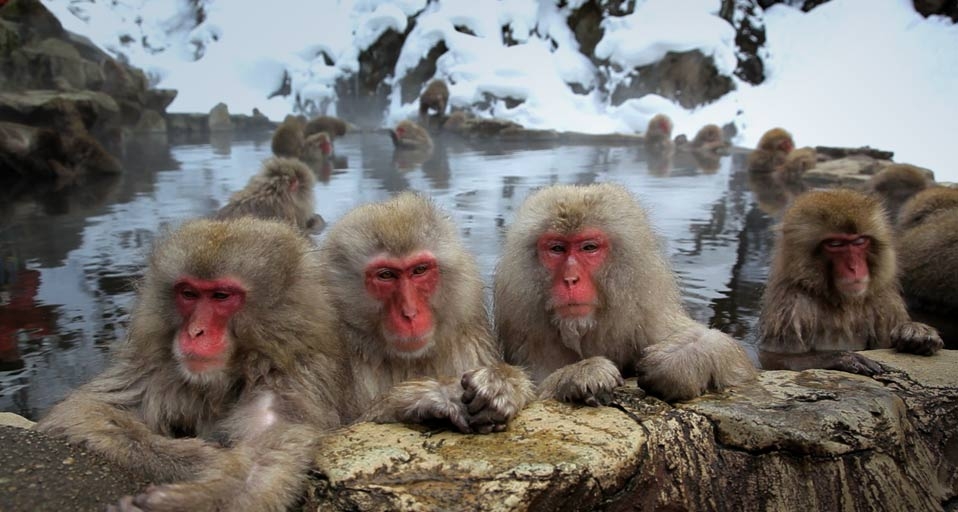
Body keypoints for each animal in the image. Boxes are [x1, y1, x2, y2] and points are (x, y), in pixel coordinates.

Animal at [496, 184, 756, 404]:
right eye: (557, 248)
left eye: (589, 247)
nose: (570, 279)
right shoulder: (529, 342)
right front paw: (583, 373)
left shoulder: (647, 319)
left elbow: (735, 361)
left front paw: (677, 359)